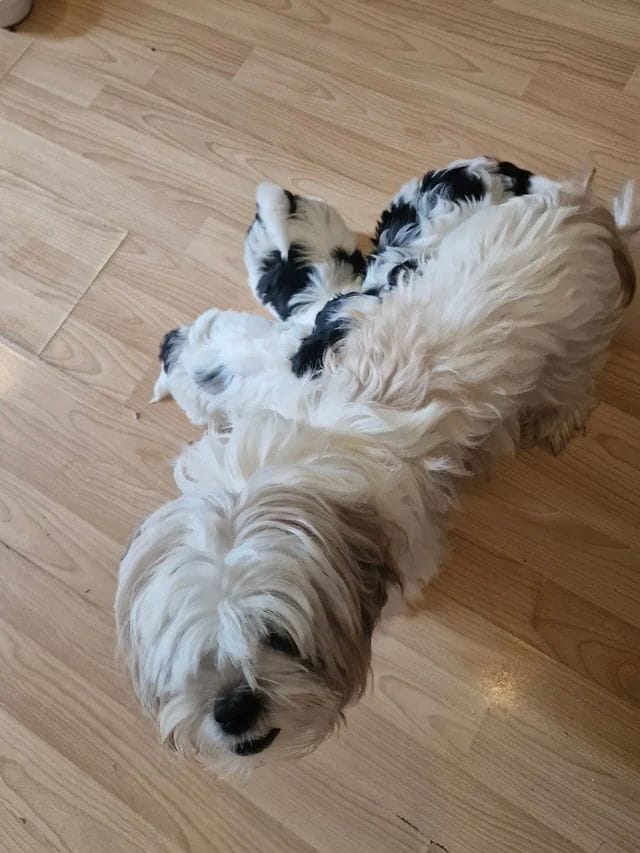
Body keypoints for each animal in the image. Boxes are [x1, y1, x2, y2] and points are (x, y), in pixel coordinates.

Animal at [118, 170, 636, 776]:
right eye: (196, 655)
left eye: (280, 639)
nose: (234, 707)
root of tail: (572, 208)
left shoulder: (411, 539)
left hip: (572, 349)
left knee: (572, 382)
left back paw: (559, 417)